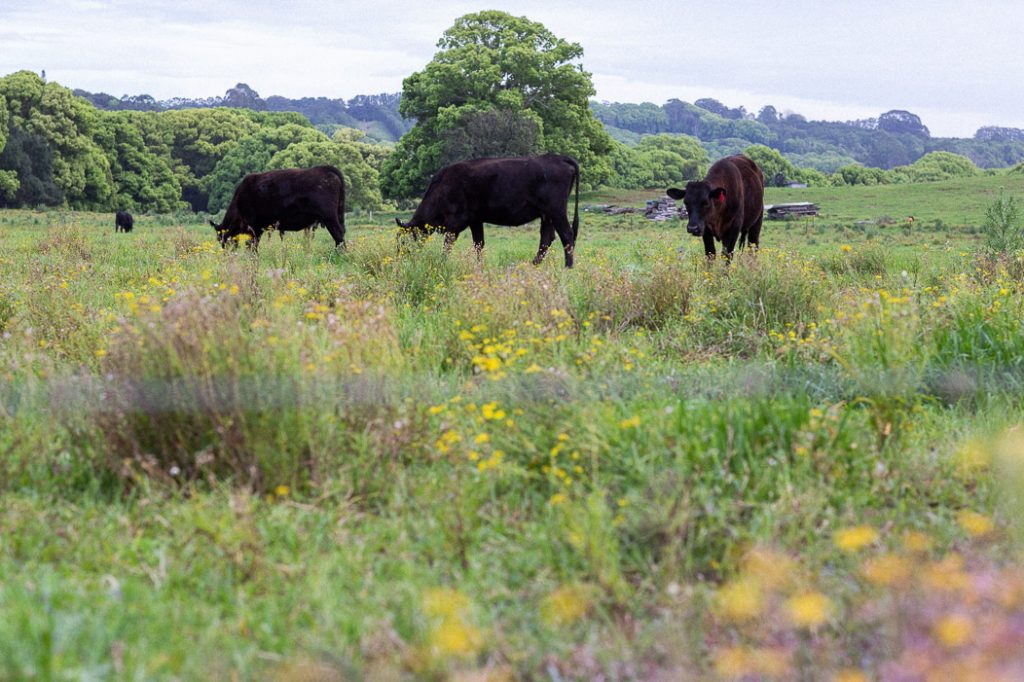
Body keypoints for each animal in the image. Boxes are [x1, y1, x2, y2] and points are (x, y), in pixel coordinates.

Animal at [211, 164, 348, 249]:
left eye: (221, 238)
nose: (226, 254)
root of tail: (326, 169)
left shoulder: (254, 227)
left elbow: (251, 246)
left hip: (329, 217)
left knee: (339, 236)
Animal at [395, 153, 581, 268]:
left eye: (402, 241)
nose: (398, 259)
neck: (443, 187)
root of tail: (558, 158)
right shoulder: (476, 220)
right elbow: (479, 244)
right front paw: (479, 266)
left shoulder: (456, 222)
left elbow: (448, 244)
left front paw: (442, 263)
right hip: (547, 215)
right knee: (547, 238)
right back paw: (533, 264)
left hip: (556, 210)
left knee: (566, 235)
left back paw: (567, 267)